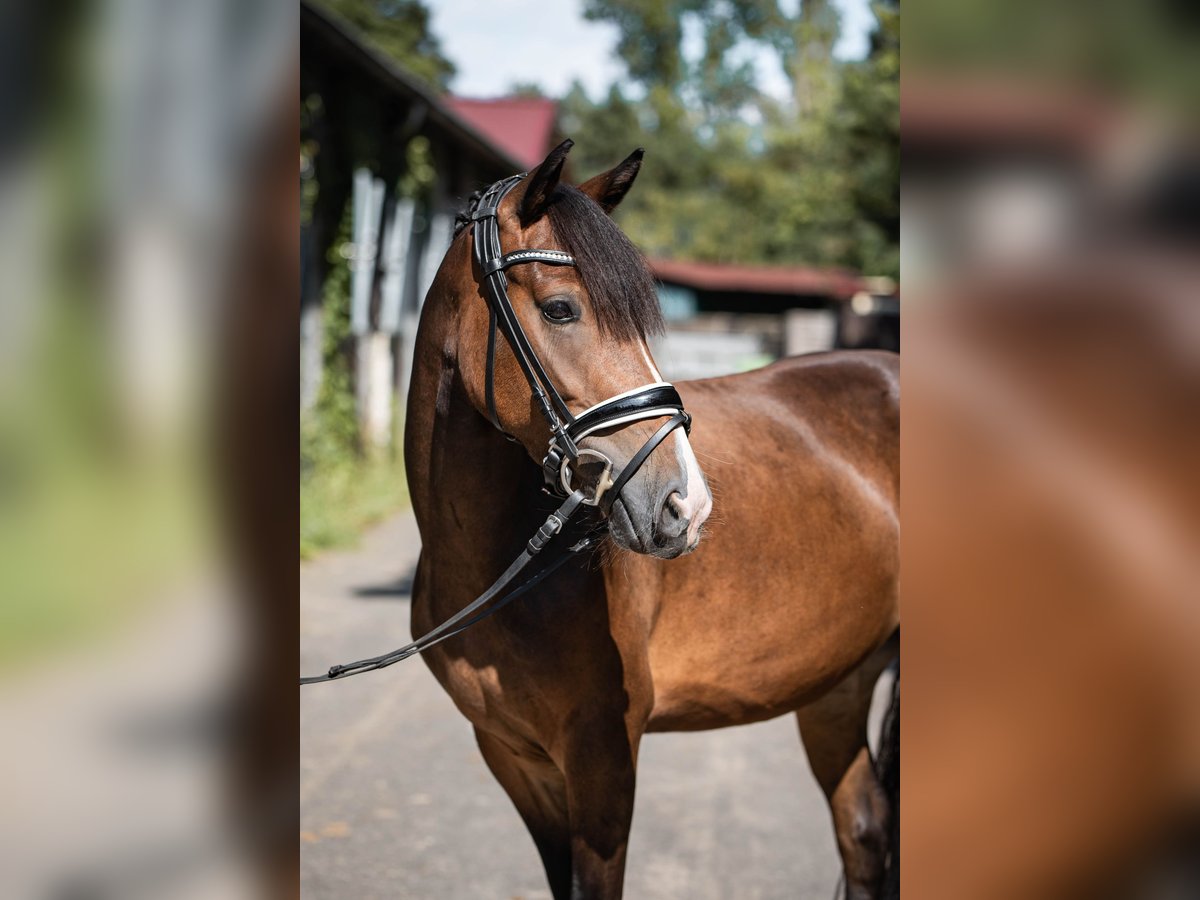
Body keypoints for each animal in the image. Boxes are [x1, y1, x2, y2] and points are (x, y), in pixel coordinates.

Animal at [405, 141, 902, 900]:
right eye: (559, 309)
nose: (685, 505)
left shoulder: (603, 762)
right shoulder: (513, 759)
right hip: (837, 686)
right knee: (864, 831)